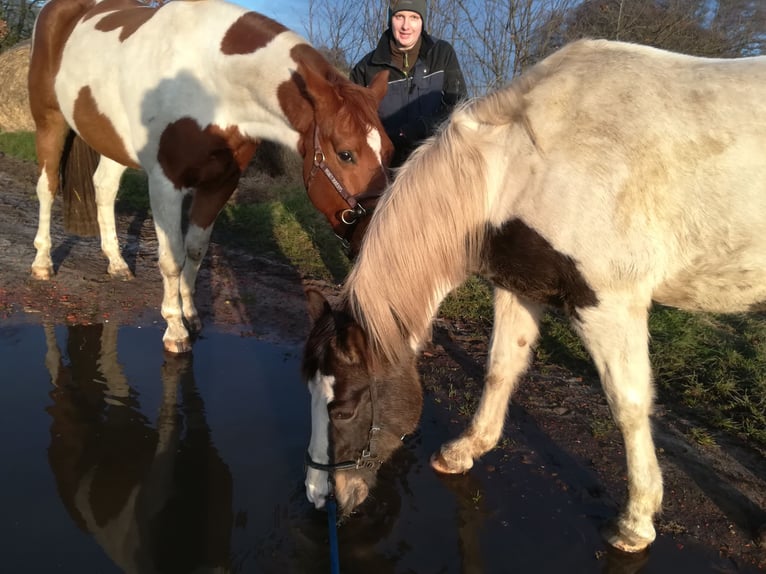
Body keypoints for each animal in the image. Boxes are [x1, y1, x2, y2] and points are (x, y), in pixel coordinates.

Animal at [28, 0, 396, 354]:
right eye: (345, 154)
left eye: (390, 151)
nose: (374, 230)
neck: (210, 81)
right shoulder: (166, 184)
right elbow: (171, 258)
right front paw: (175, 329)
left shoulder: (221, 182)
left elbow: (195, 250)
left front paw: (190, 314)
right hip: (50, 122)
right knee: (47, 187)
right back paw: (43, 263)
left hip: (112, 139)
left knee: (103, 188)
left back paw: (117, 263)